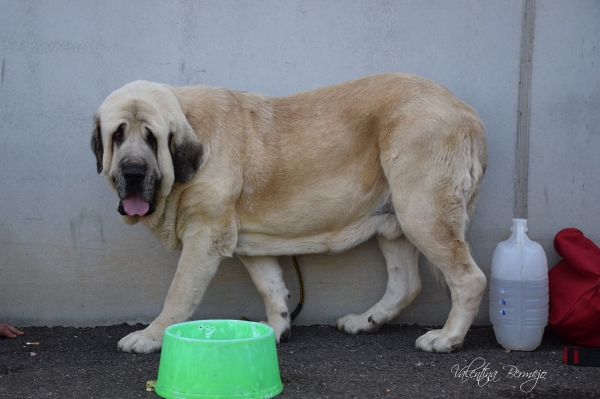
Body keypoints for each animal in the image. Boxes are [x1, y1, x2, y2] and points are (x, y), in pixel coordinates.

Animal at [92, 73, 488, 354]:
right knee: (405, 282)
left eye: (152, 137)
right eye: (118, 134)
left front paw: (151, 336)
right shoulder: (245, 241)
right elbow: (270, 286)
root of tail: (465, 111)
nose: (132, 172)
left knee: (470, 279)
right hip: (396, 224)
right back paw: (365, 320)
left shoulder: (204, 236)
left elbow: (178, 294)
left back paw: (448, 337)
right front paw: (278, 327)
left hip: (422, 214)